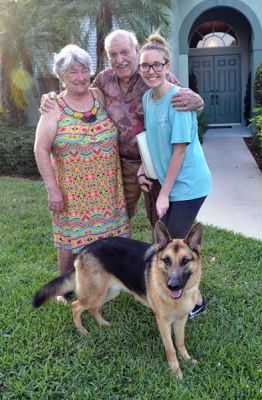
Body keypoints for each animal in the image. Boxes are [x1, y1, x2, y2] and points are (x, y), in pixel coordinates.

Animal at [32, 220, 204, 380]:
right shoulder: (163, 322)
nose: (173, 286)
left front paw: (187, 359)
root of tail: (84, 249)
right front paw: (175, 370)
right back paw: (81, 329)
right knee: (76, 306)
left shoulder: (181, 320)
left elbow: (180, 343)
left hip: (108, 293)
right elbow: (170, 348)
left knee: (93, 308)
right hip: (95, 294)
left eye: (185, 260)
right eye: (166, 260)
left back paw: (102, 323)